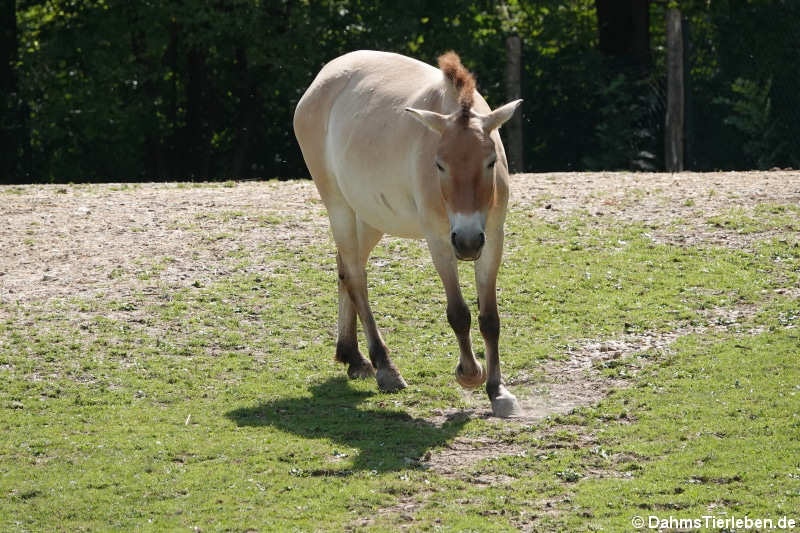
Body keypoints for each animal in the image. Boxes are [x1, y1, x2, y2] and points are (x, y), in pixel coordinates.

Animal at [294, 50, 524, 416]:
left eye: (490, 161)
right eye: (439, 164)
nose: (467, 241)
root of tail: (322, 79)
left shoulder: (492, 238)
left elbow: (490, 318)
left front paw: (498, 391)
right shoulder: (439, 240)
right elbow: (459, 313)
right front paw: (469, 374)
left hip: (370, 219)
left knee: (345, 268)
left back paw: (353, 357)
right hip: (338, 206)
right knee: (356, 278)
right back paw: (385, 368)